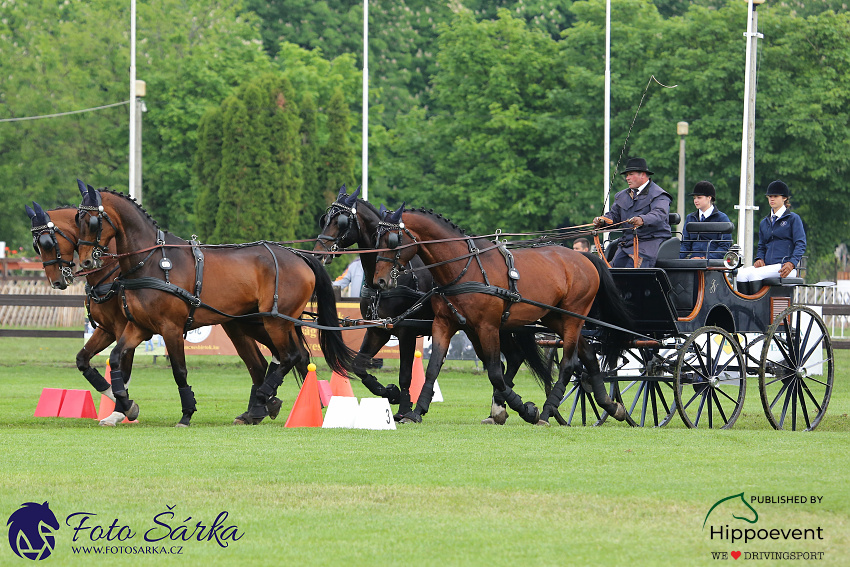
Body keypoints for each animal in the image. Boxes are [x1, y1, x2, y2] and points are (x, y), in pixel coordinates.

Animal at [73, 186, 352, 426]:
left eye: (93, 222)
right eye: (77, 219)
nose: (85, 262)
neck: (151, 262)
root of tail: (299, 256)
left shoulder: (171, 328)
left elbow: (179, 371)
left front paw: (186, 413)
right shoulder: (139, 326)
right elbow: (116, 359)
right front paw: (125, 404)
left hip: (275, 321)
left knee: (289, 356)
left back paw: (266, 398)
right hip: (255, 323)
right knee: (284, 358)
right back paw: (275, 406)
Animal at [314, 189, 548, 424]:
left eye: (341, 221)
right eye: (325, 219)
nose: (318, 253)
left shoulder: (406, 331)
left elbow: (405, 374)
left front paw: (404, 407)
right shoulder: (378, 329)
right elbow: (358, 366)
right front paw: (391, 393)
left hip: (497, 327)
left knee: (512, 358)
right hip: (477, 330)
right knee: (506, 361)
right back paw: (497, 408)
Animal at [372, 206, 628, 424]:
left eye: (392, 240)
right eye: (376, 238)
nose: (379, 281)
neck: (464, 268)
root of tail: (584, 258)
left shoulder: (488, 327)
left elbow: (496, 372)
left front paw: (525, 410)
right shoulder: (445, 324)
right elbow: (433, 368)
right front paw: (417, 411)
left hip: (574, 317)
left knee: (568, 363)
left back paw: (547, 412)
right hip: (555, 317)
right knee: (588, 355)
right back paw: (610, 405)